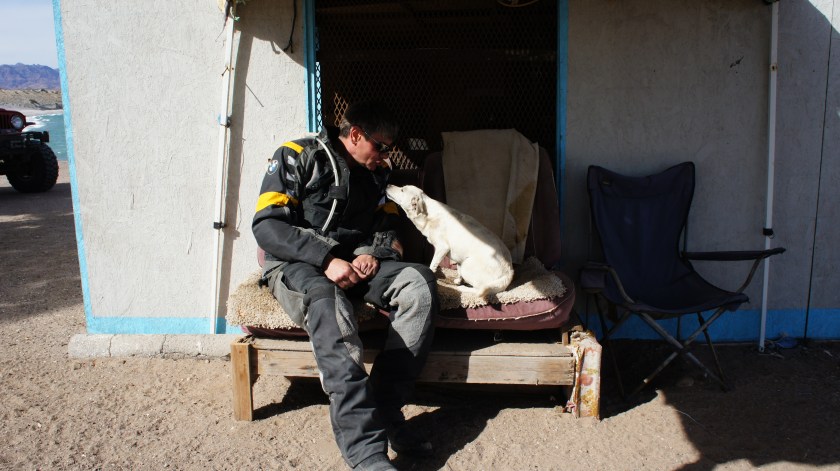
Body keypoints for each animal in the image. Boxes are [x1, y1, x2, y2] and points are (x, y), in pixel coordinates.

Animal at [385, 184, 514, 297]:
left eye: (402, 189)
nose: (387, 185)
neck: (427, 215)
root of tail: (509, 272)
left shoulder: (442, 248)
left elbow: (432, 266)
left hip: (467, 265)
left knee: (478, 289)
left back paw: (461, 288)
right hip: (463, 263)